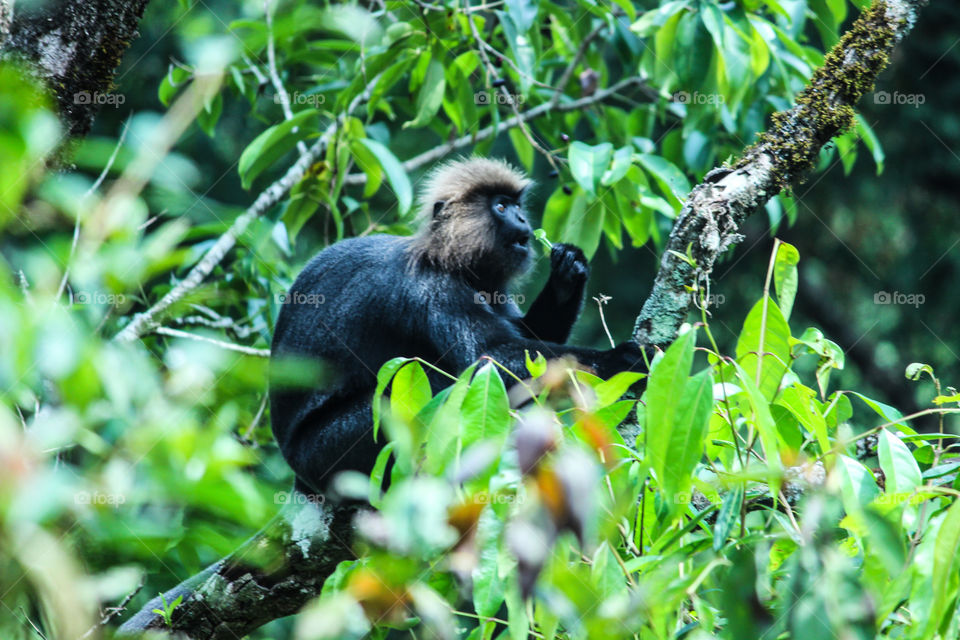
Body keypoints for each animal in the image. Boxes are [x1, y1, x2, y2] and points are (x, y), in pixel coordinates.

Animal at [269, 157, 647, 494]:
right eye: (501, 206)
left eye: (516, 205)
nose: (523, 218)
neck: (447, 259)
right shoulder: (433, 289)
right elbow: (489, 357)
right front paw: (619, 359)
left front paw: (568, 271)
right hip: (326, 449)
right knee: (438, 382)